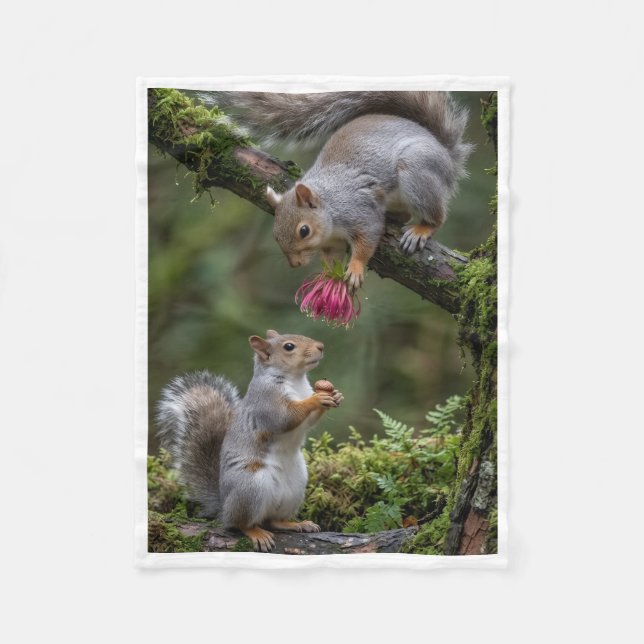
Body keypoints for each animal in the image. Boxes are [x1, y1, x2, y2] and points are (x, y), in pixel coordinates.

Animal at [155, 330, 344, 552]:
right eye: (289, 347)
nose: (321, 346)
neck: (295, 379)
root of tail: (224, 506)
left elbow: (309, 421)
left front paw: (335, 395)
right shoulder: (267, 402)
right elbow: (286, 417)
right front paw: (316, 399)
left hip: (296, 486)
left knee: (273, 520)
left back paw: (296, 524)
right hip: (250, 486)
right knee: (240, 524)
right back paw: (256, 533)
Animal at [214, 91, 473, 289]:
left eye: (304, 231)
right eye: (275, 234)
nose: (295, 264)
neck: (330, 209)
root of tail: (446, 156)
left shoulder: (360, 214)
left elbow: (366, 242)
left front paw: (355, 269)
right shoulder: (332, 242)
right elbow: (332, 257)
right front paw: (328, 275)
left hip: (417, 170)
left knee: (436, 215)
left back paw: (422, 229)